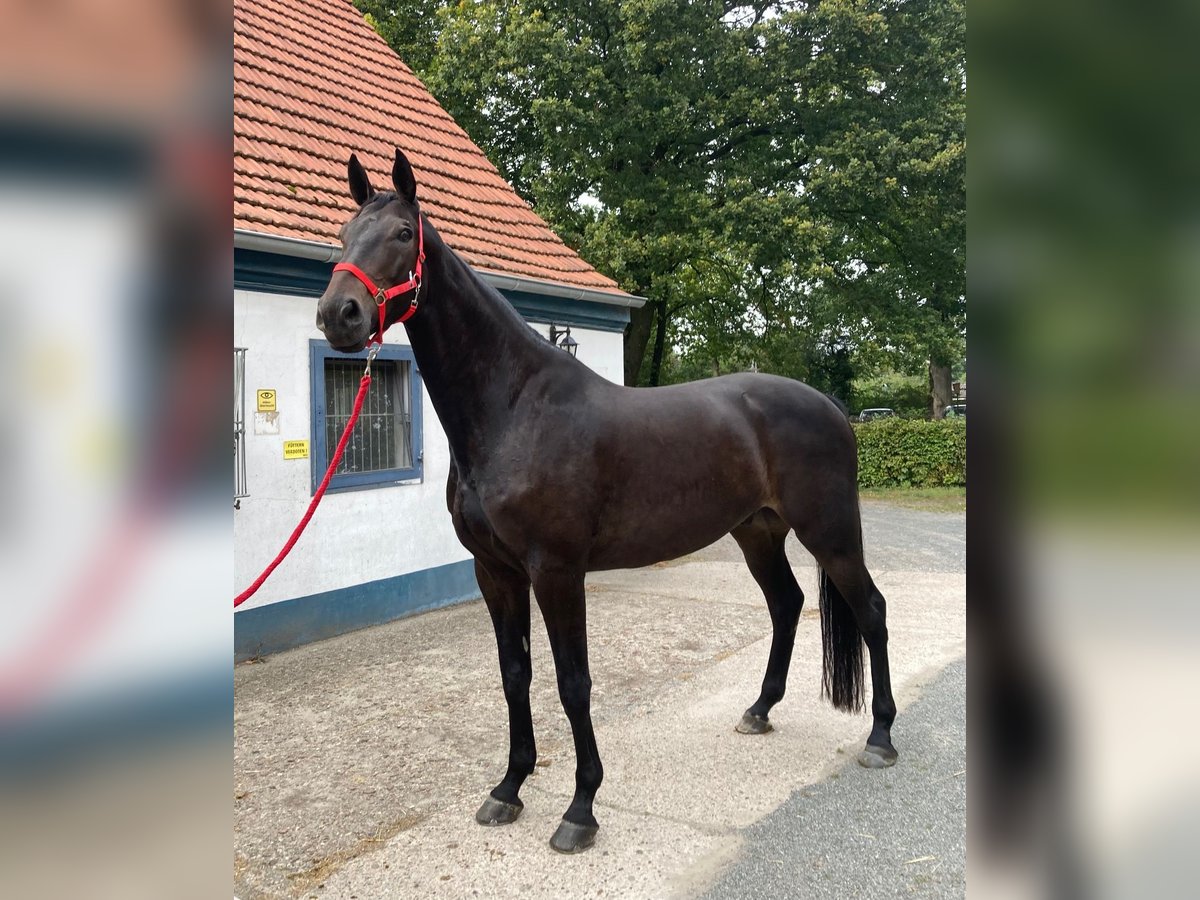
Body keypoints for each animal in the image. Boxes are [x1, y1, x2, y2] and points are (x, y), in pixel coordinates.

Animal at [314, 148, 897, 854]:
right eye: (345, 233)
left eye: (403, 234)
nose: (338, 314)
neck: (514, 410)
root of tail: (831, 408)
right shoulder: (495, 572)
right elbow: (515, 674)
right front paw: (509, 788)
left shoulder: (557, 571)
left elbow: (573, 682)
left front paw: (581, 808)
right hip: (757, 532)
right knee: (786, 604)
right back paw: (759, 711)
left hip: (830, 532)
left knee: (871, 610)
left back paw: (881, 736)